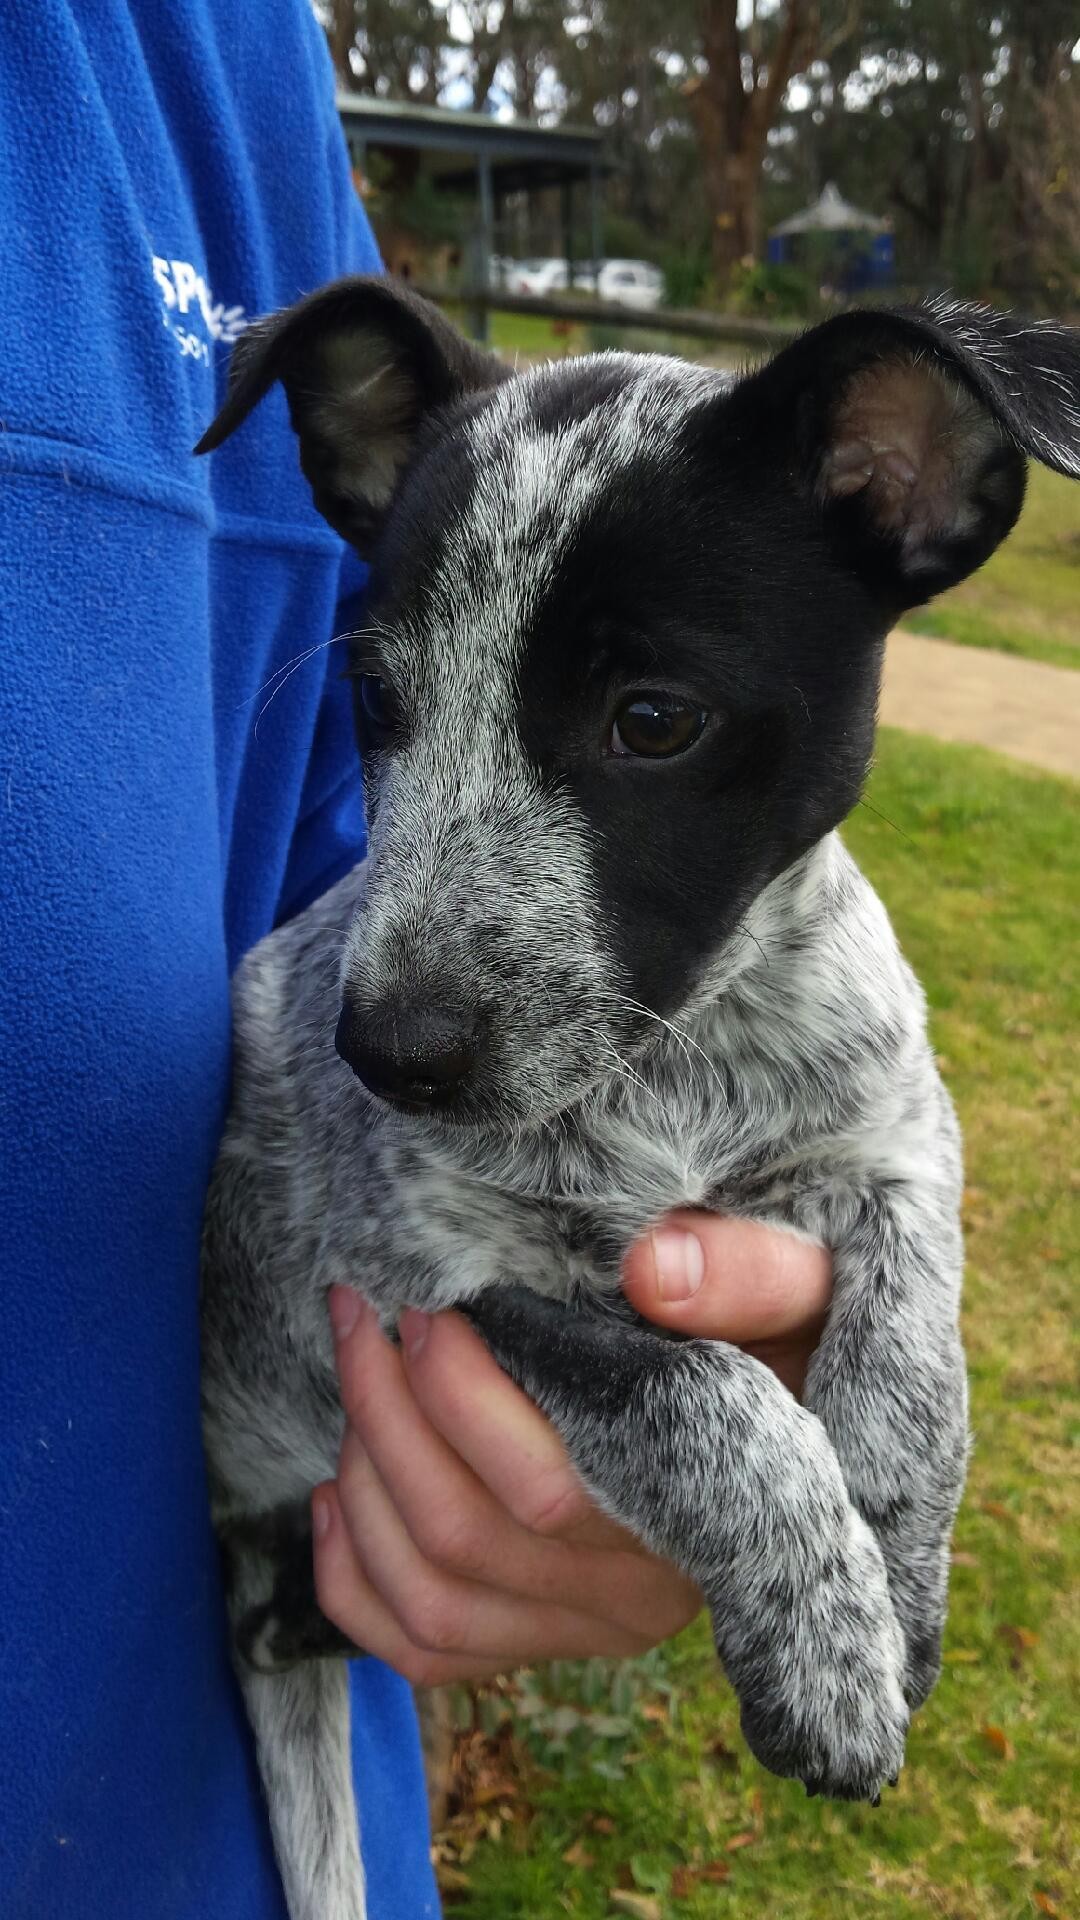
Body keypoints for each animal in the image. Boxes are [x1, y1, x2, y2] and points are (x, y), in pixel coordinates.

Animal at [195, 284, 1076, 1920]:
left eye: (652, 720)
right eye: (377, 700)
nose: (386, 1055)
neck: (679, 1065)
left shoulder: (900, 1136)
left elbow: (918, 1355)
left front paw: (897, 1571)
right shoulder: (434, 1287)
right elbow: (706, 1395)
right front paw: (827, 1645)